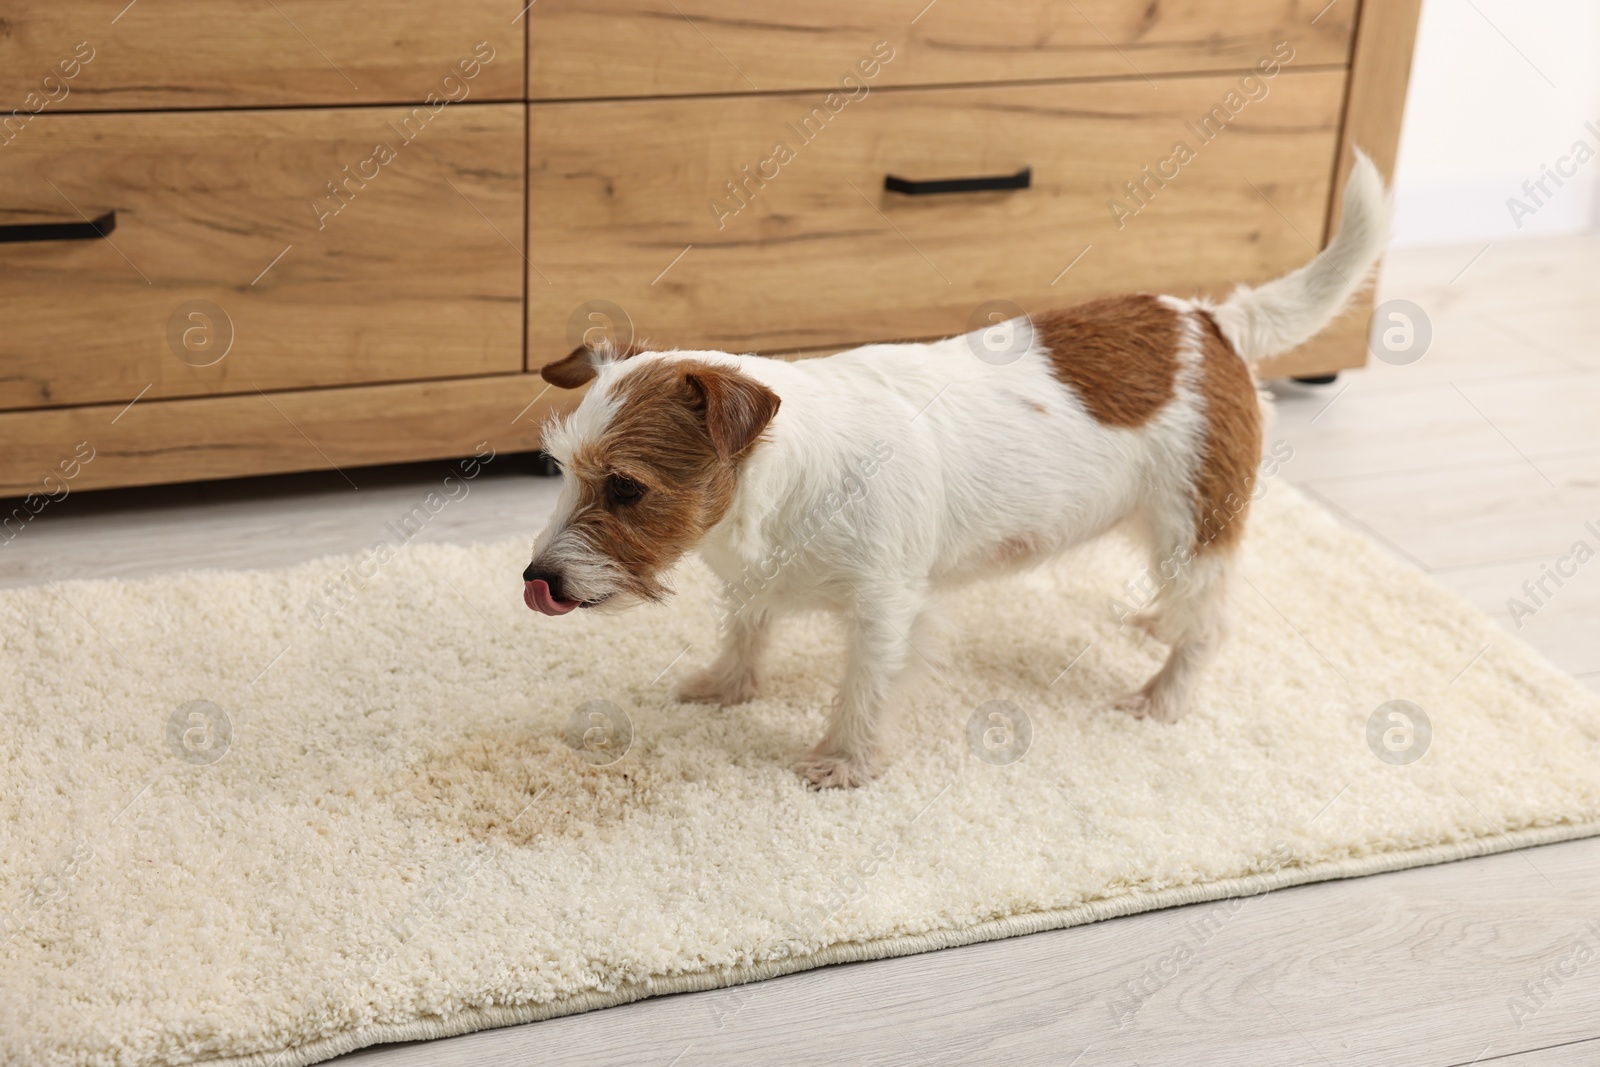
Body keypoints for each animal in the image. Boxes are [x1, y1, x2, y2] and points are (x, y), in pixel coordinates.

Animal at [524, 154, 1388, 790]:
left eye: (626, 487)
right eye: (561, 469)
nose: (537, 578)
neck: (786, 483)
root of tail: (1209, 320)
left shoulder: (886, 610)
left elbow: (863, 689)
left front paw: (842, 763)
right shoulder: (757, 581)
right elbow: (747, 627)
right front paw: (726, 686)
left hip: (1190, 524)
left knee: (1210, 623)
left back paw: (1162, 696)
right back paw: (1155, 623)